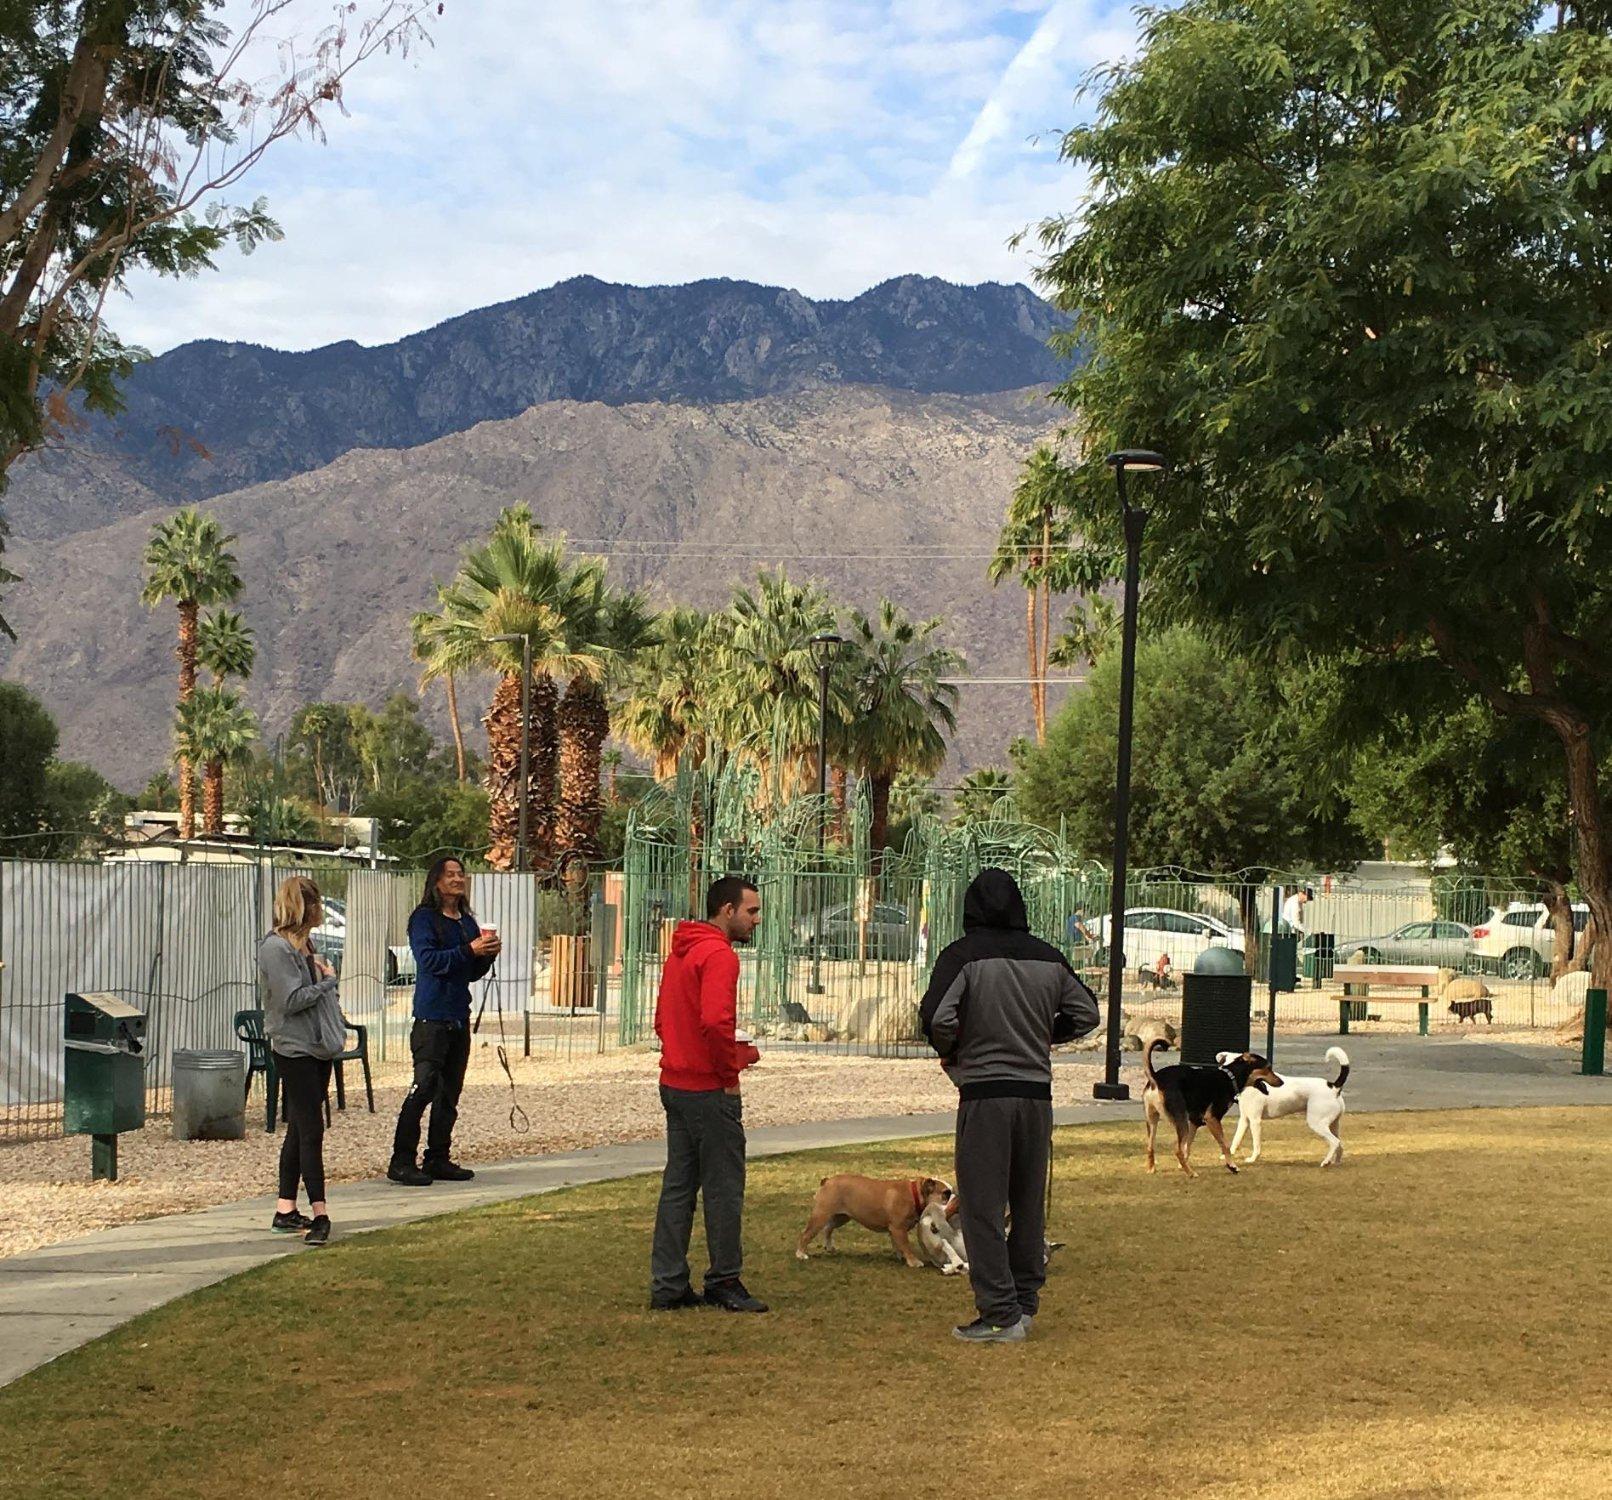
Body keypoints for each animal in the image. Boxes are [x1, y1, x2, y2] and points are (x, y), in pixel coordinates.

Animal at [1147, 1037, 1283, 1179]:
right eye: (1268, 1068)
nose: (1282, 1082)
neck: (1230, 1077)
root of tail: (1156, 1078)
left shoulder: (1194, 1122)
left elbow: (1188, 1146)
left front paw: (1182, 1164)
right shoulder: (1212, 1118)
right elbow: (1225, 1145)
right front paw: (1232, 1166)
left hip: (1153, 1120)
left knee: (1150, 1146)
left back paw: (1152, 1169)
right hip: (1181, 1120)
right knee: (1177, 1150)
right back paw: (1191, 1173)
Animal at [1218, 1050, 1347, 1166]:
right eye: (1224, 1063)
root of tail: (1334, 1087)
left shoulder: (1255, 1121)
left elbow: (1256, 1144)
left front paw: (1253, 1159)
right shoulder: (1244, 1119)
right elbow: (1236, 1140)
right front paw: (1227, 1155)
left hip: (1317, 1123)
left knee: (1334, 1142)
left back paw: (1326, 1162)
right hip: (1333, 1125)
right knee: (1339, 1144)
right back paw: (1335, 1162)